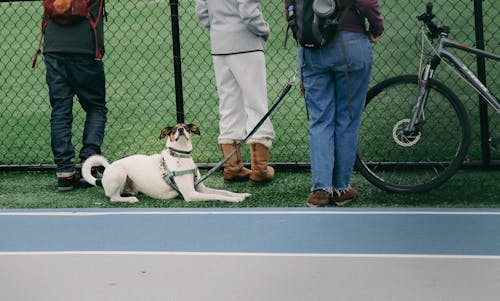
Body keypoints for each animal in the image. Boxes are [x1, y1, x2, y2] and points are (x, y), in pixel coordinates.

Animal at [83, 123, 252, 203]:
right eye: (174, 129)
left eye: (186, 127)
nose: (181, 129)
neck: (181, 156)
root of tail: (103, 177)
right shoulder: (191, 194)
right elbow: (218, 196)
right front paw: (235, 199)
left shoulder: (200, 188)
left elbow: (223, 192)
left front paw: (240, 194)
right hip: (119, 172)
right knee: (113, 197)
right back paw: (129, 199)